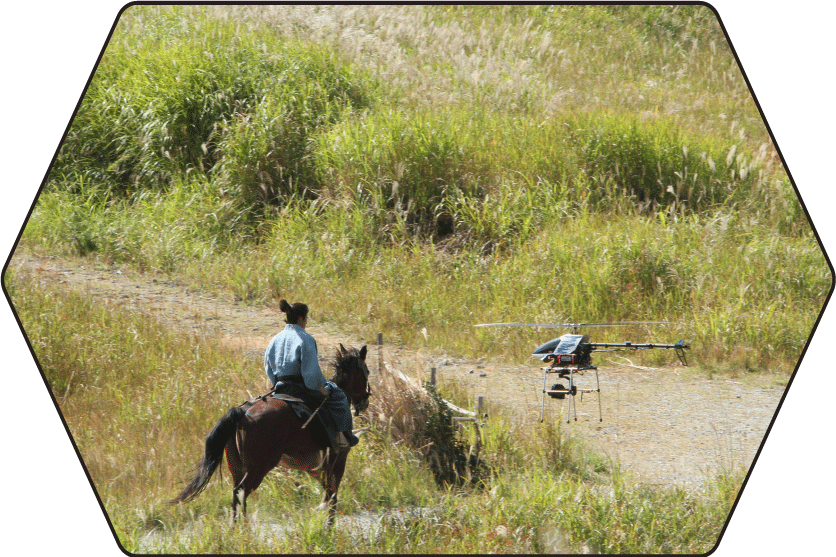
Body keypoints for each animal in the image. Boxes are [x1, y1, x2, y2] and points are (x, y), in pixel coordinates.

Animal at [171, 340, 370, 524]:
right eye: (366, 372)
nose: (365, 401)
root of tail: (242, 413)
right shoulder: (339, 459)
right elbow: (332, 494)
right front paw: (329, 526)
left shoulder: (316, 467)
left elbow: (327, 492)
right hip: (258, 468)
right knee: (242, 492)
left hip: (236, 466)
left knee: (235, 495)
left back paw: (236, 529)